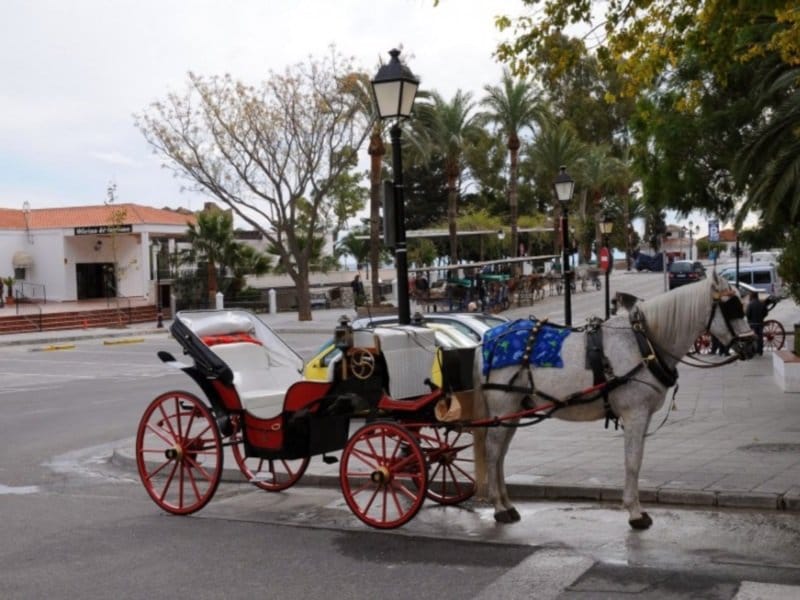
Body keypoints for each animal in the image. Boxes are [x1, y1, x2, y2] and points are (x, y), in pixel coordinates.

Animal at [476, 272, 756, 528]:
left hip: (514, 411)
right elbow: (633, 461)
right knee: (493, 451)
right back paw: (499, 507)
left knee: (501, 454)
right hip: (503, 407)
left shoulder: (644, 416)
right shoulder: (635, 414)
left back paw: (507, 504)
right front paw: (635, 513)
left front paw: (636, 508)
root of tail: (489, 340)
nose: (752, 345)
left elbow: (637, 459)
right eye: (732, 307)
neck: (644, 343)